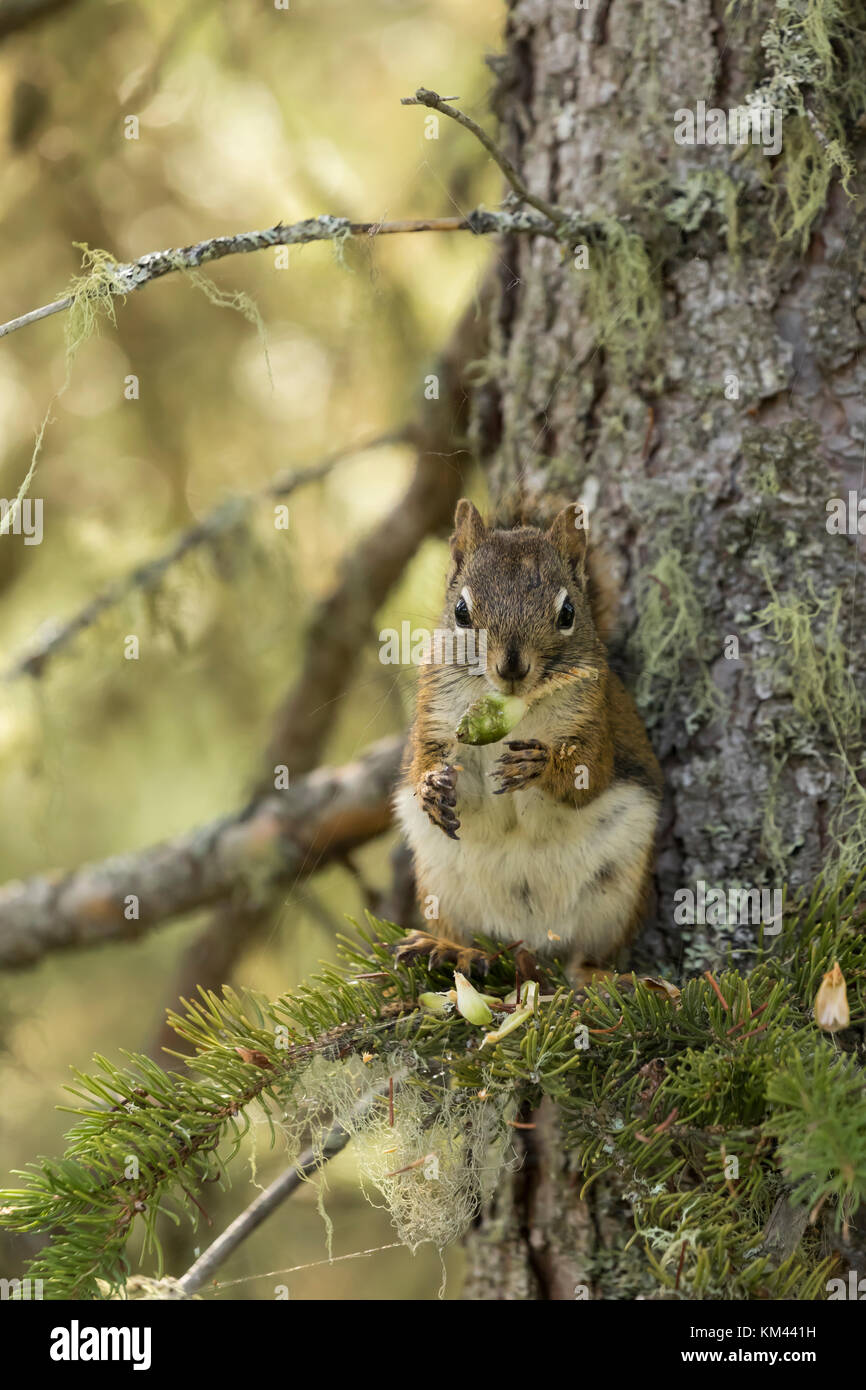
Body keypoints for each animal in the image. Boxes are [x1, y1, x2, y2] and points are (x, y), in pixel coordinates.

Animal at [393, 498, 662, 982]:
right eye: (461, 612)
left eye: (568, 613)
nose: (512, 667)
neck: (516, 708)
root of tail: (530, 946)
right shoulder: (435, 719)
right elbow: (428, 762)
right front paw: (431, 787)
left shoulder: (594, 722)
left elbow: (588, 776)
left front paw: (539, 766)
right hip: (442, 886)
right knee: (466, 936)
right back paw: (449, 949)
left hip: (615, 896)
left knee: (586, 956)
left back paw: (596, 978)